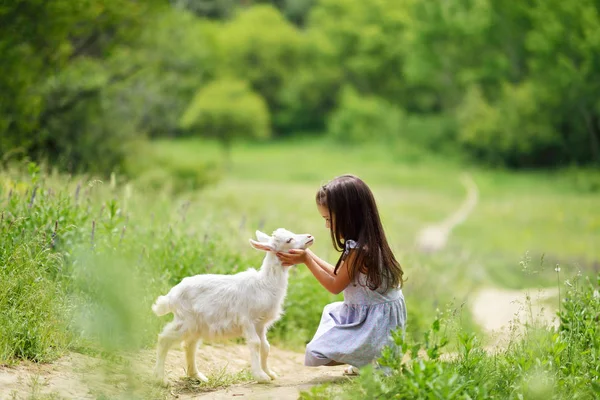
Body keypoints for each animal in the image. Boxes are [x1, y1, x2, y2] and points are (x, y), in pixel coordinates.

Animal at [150, 227, 314, 382]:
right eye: (288, 240)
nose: (310, 237)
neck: (264, 284)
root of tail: (171, 296)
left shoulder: (260, 324)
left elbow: (265, 347)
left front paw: (269, 373)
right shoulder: (247, 320)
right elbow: (255, 343)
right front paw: (261, 376)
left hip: (197, 324)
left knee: (189, 345)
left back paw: (197, 376)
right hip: (185, 320)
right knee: (164, 339)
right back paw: (160, 379)